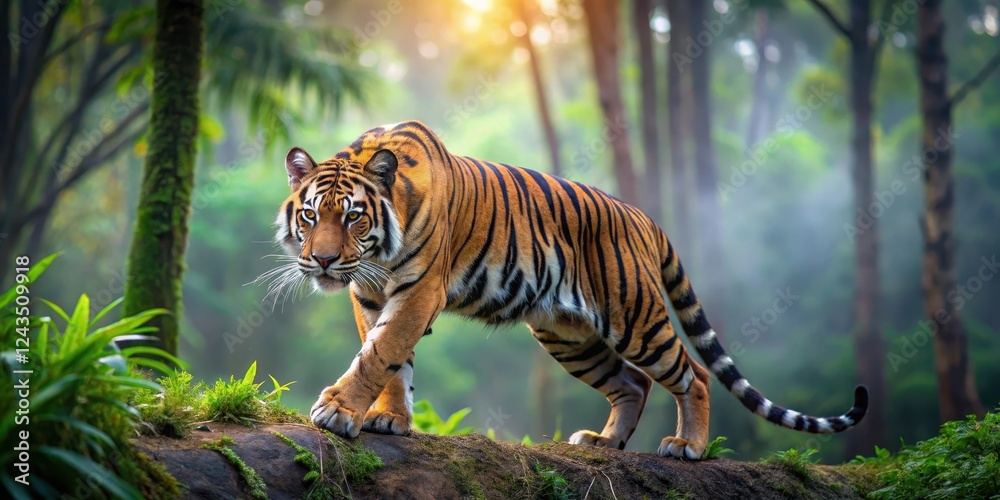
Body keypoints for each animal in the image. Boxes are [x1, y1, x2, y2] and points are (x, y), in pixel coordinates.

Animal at [271, 120, 867, 459]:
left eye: (352, 217)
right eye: (310, 214)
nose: (322, 260)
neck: (377, 257)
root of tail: (644, 218)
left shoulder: (418, 291)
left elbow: (381, 352)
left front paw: (336, 410)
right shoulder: (370, 294)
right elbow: (389, 357)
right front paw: (389, 419)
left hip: (635, 317)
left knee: (693, 374)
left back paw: (687, 447)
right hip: (569, 335)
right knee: (632, 383)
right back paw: (604, 443)